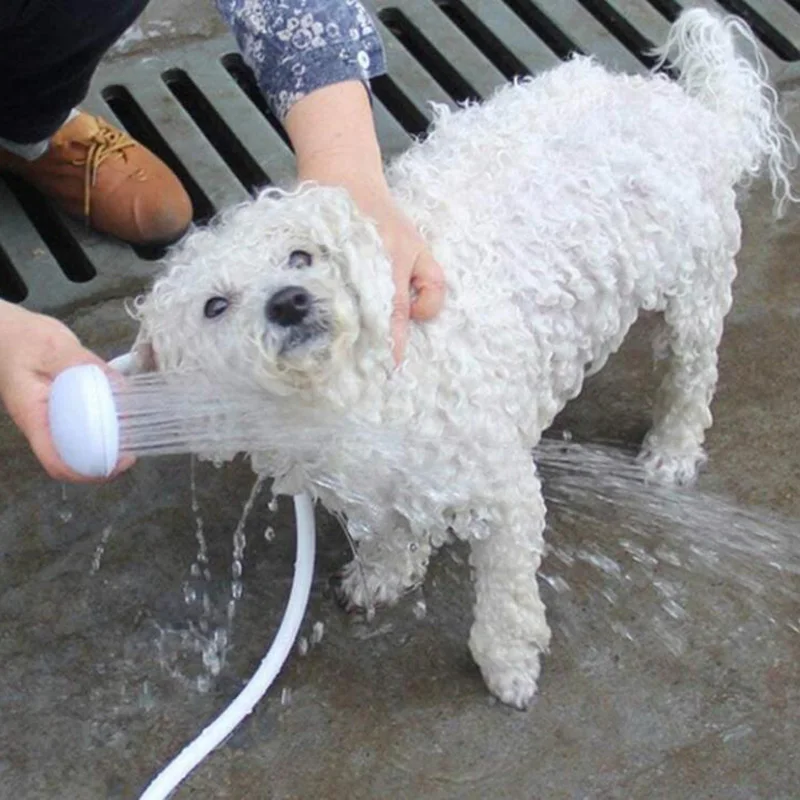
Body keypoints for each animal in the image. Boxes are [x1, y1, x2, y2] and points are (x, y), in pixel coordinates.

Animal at [133, 9, 800, 708]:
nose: (289, 301)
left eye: (300, 255)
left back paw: (671, 449)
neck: (356, 394)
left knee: (691, 374)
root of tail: (688, 111)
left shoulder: (502, 489)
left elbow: (505, 596)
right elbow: (387, 534)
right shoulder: (368, 485)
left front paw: (508, 663)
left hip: (695, 286)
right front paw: (383, 575)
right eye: (214, 306)